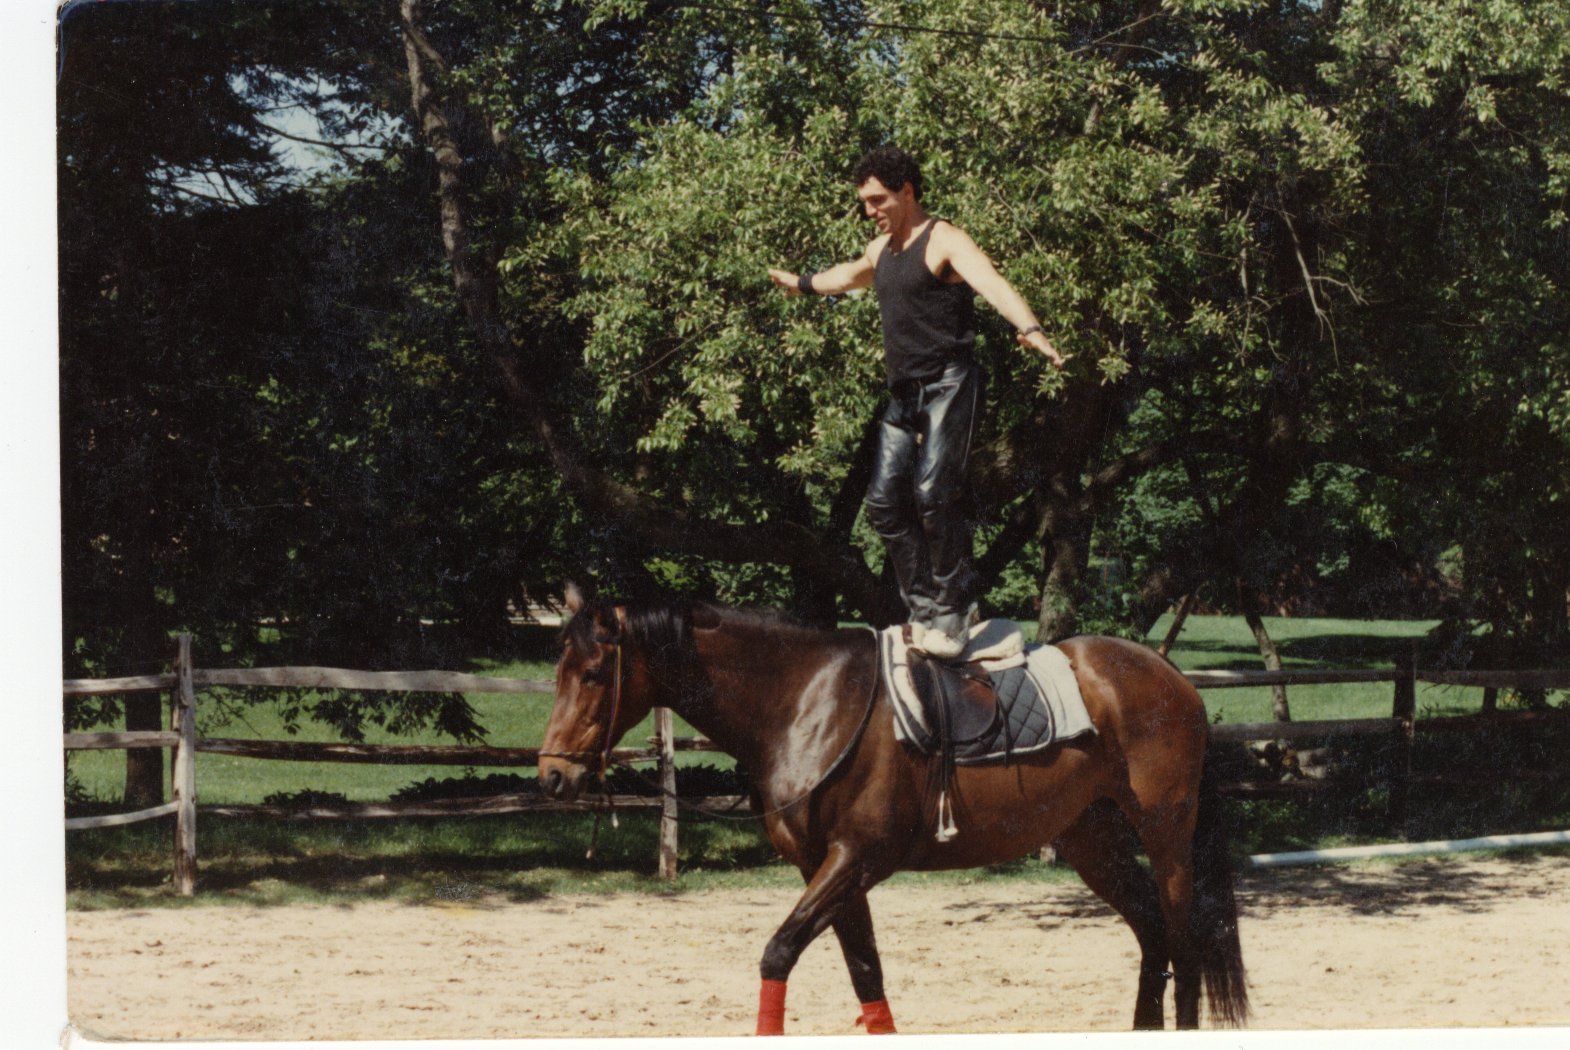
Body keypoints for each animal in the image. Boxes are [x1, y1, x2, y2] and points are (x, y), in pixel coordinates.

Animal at [540, 590, 1249, 1029]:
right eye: (558, 671)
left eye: (594, 674)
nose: (551, 774)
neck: (807, 700)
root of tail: (1172, 677)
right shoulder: (826, 870)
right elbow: (866, 975)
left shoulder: (858, 859)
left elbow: (778, 954)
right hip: (1092, 840)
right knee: (1153, 932)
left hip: (1165, 832)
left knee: (1183, 941)